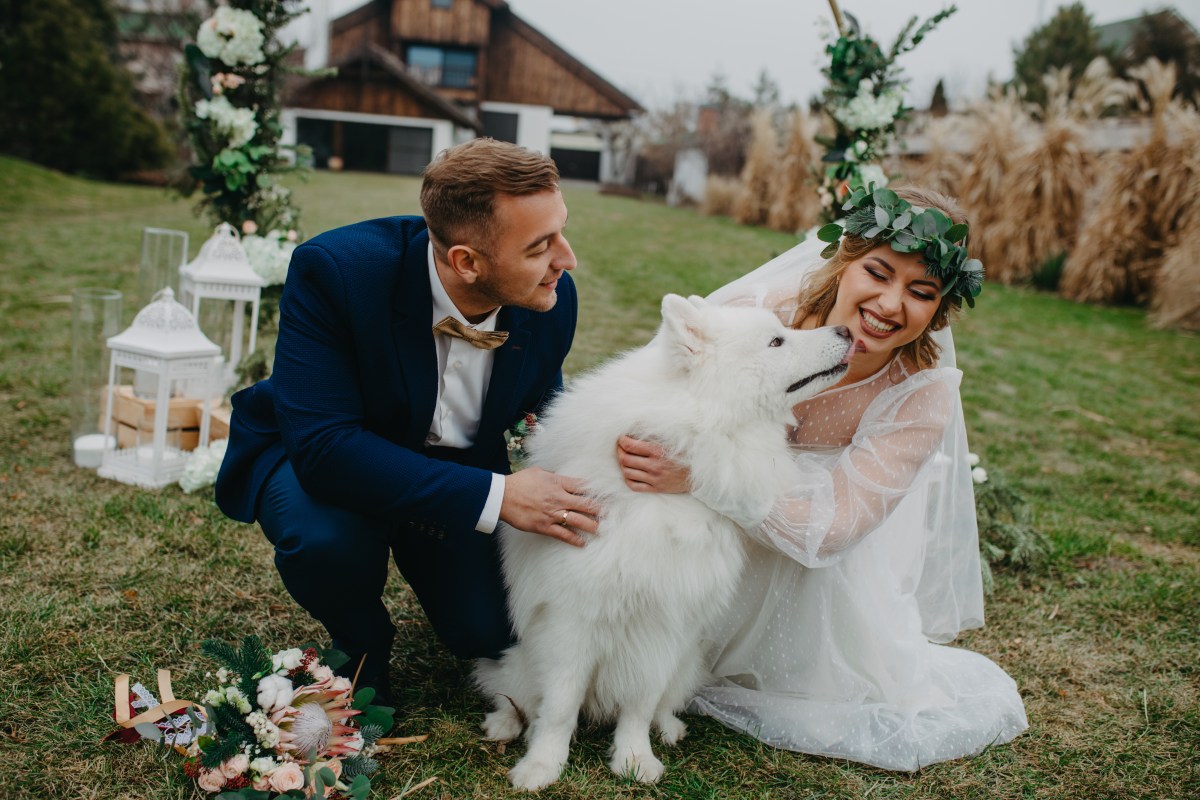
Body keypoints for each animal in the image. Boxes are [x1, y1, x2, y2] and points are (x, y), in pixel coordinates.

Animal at [470, 292, 854, 786]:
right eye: (776, 341)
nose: (846, 330)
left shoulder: (667, 622)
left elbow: (640, 701)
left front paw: (634, 759)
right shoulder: (573, 621)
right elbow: (558, 705)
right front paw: (541, 765)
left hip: (687, 661)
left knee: (662, 702)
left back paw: (668, 727)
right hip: (519, 657)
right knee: (511, 690)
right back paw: (505, 722)